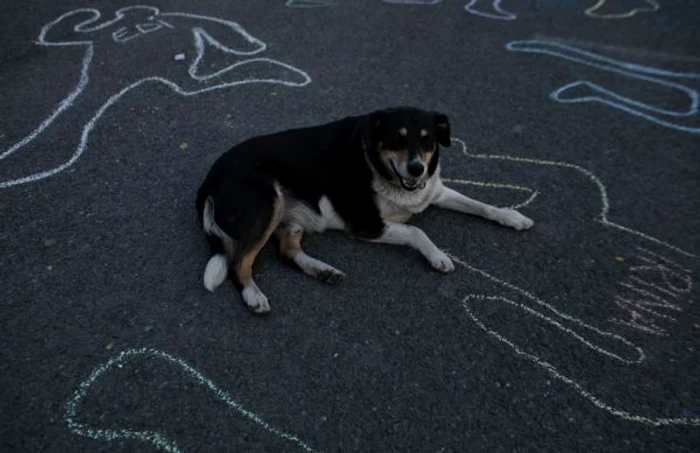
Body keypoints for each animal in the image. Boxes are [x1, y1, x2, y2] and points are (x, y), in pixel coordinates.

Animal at [194, 105, 532, 314]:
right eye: (397, 139)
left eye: (428, 141)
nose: (417, 169)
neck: (381, 169)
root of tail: (209, 179)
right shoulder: (366, 224)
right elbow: (416, 230)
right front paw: (437, 256)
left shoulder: (434, 190)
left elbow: (481, 205)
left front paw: (511, 216)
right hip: (266, 205)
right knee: (239, 263)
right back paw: (253, 295)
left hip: (290, 216)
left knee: (287, 253)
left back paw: (323, 271)